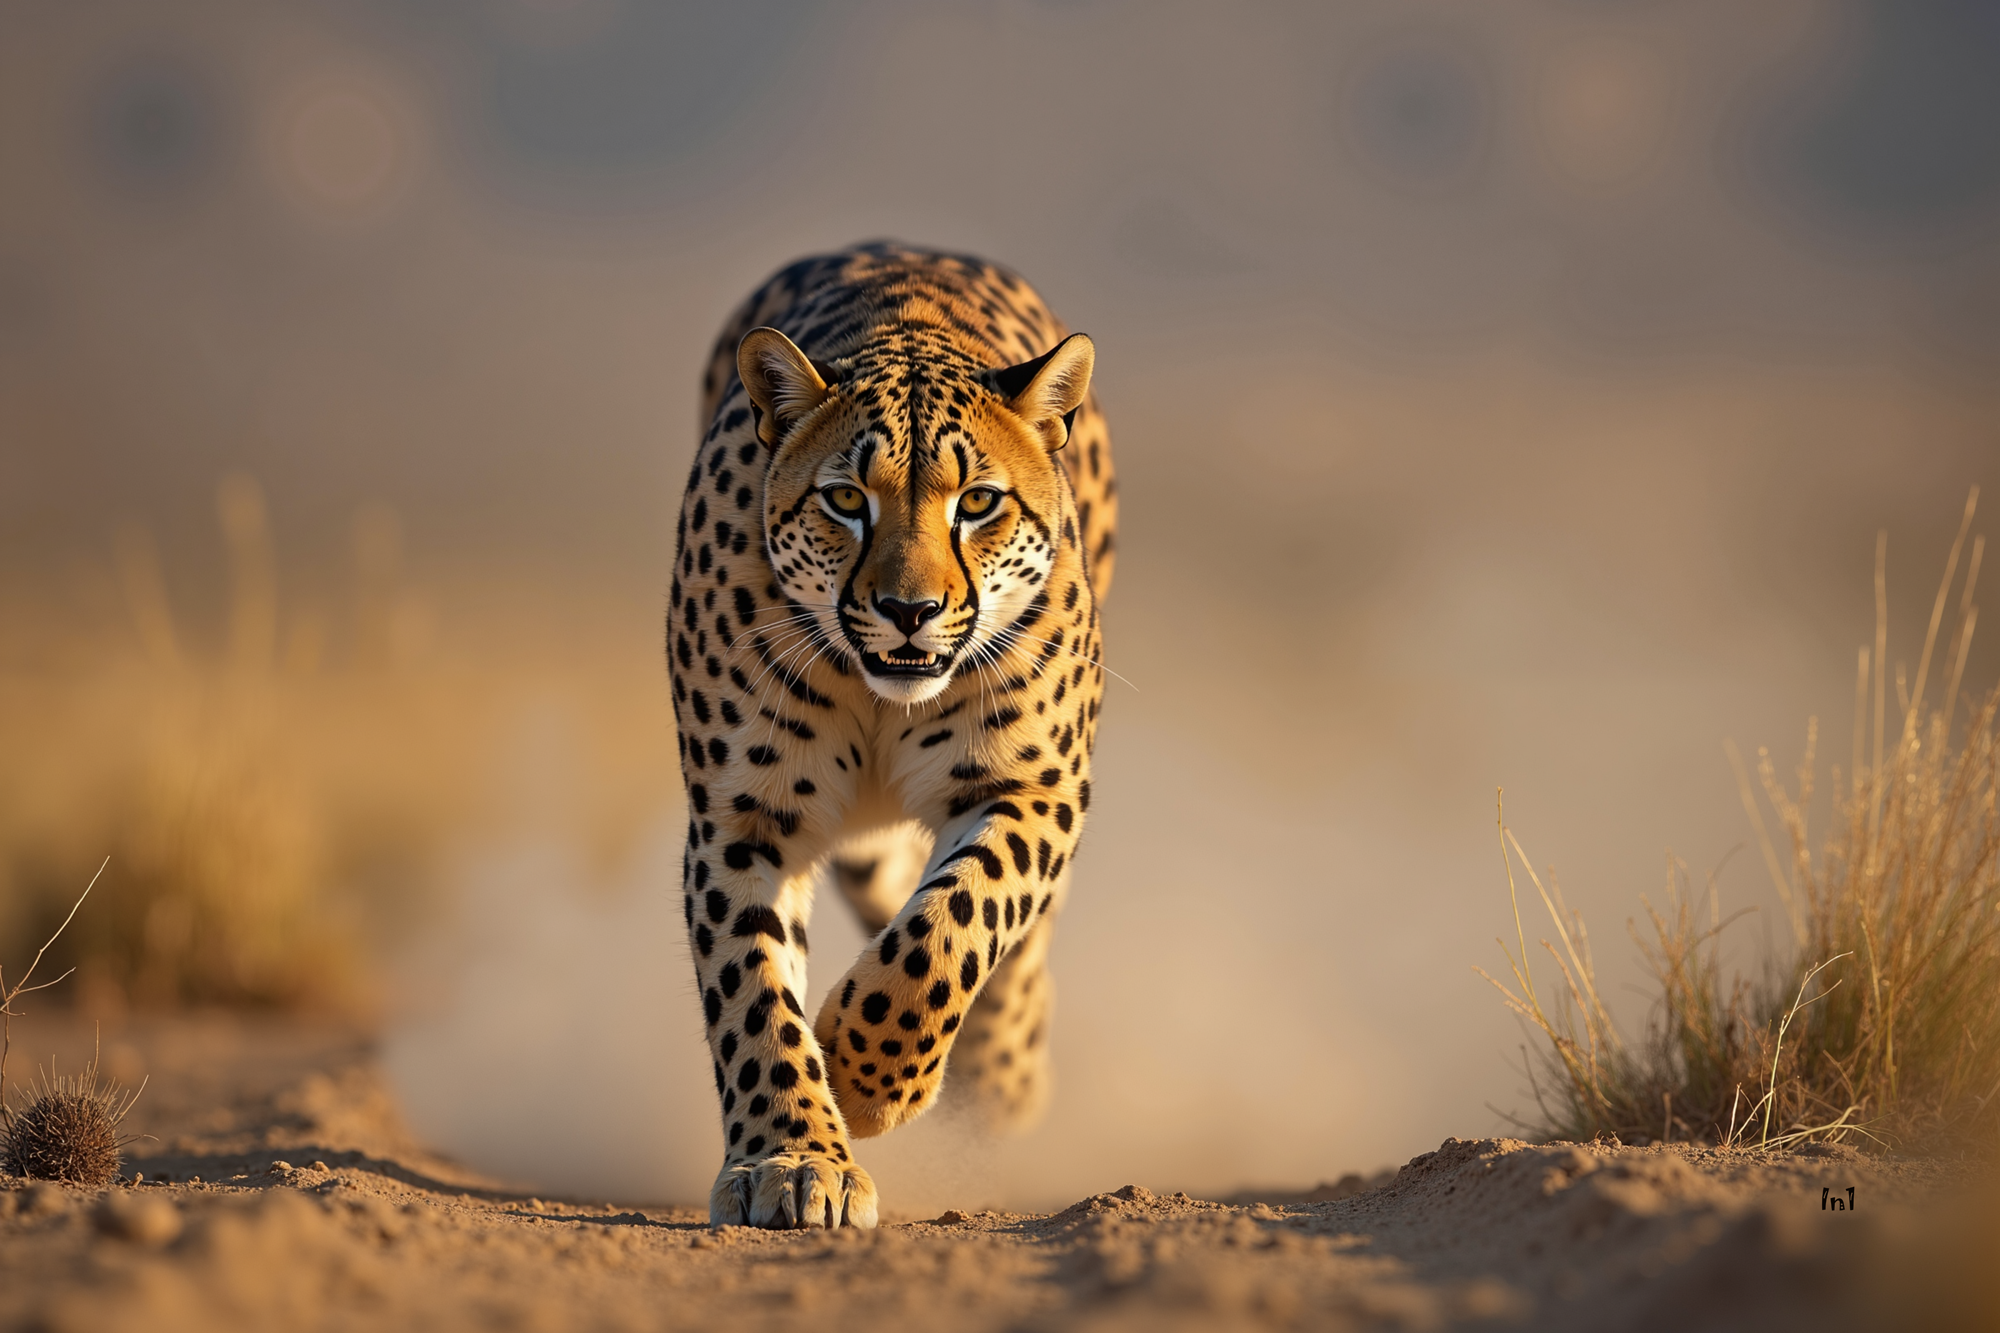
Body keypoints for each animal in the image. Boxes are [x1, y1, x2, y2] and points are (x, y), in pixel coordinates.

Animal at [665, 243, 1117, 1230]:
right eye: (844, 499)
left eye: (978, 502)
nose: (909, 610)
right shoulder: (743, 814)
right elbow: (752, 991)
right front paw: (793, 1157)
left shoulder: (1032, 786)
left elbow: (956, 924)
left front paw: (865, 1080)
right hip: (859, 843)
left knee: (1012, 940)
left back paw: (1003, 1075)